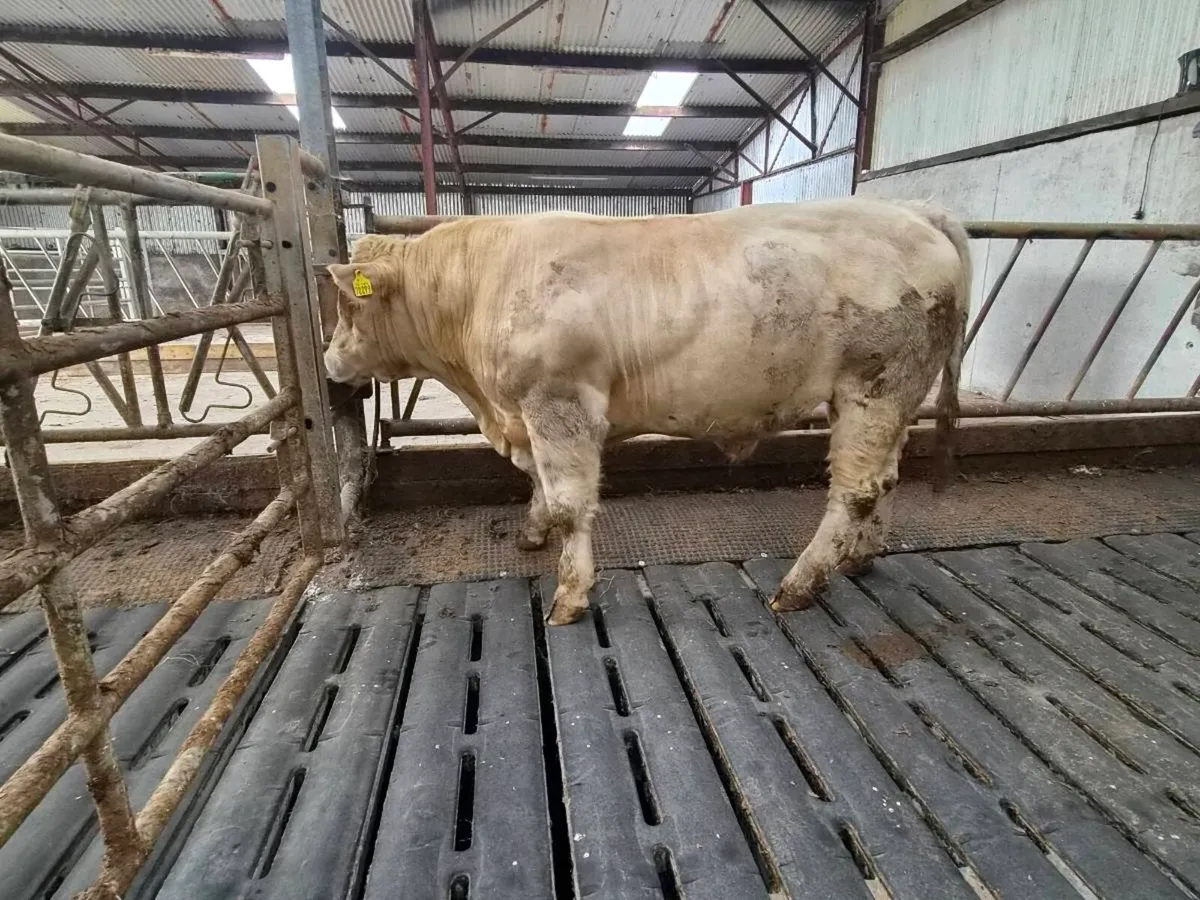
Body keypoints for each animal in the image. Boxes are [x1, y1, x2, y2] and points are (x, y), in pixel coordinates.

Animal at [323, 197, 971, 626]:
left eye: (349, 308)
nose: (329, 361)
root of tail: (915, 210)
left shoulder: (559, 403)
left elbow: (571, 502)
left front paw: (569, 595)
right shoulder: (528, 416)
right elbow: (539, 484)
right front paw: (532, 530)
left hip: (875, 383)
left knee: (855, 489)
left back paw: (798, 586)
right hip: (892, 395)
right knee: (885, 477)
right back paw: (859, 558)